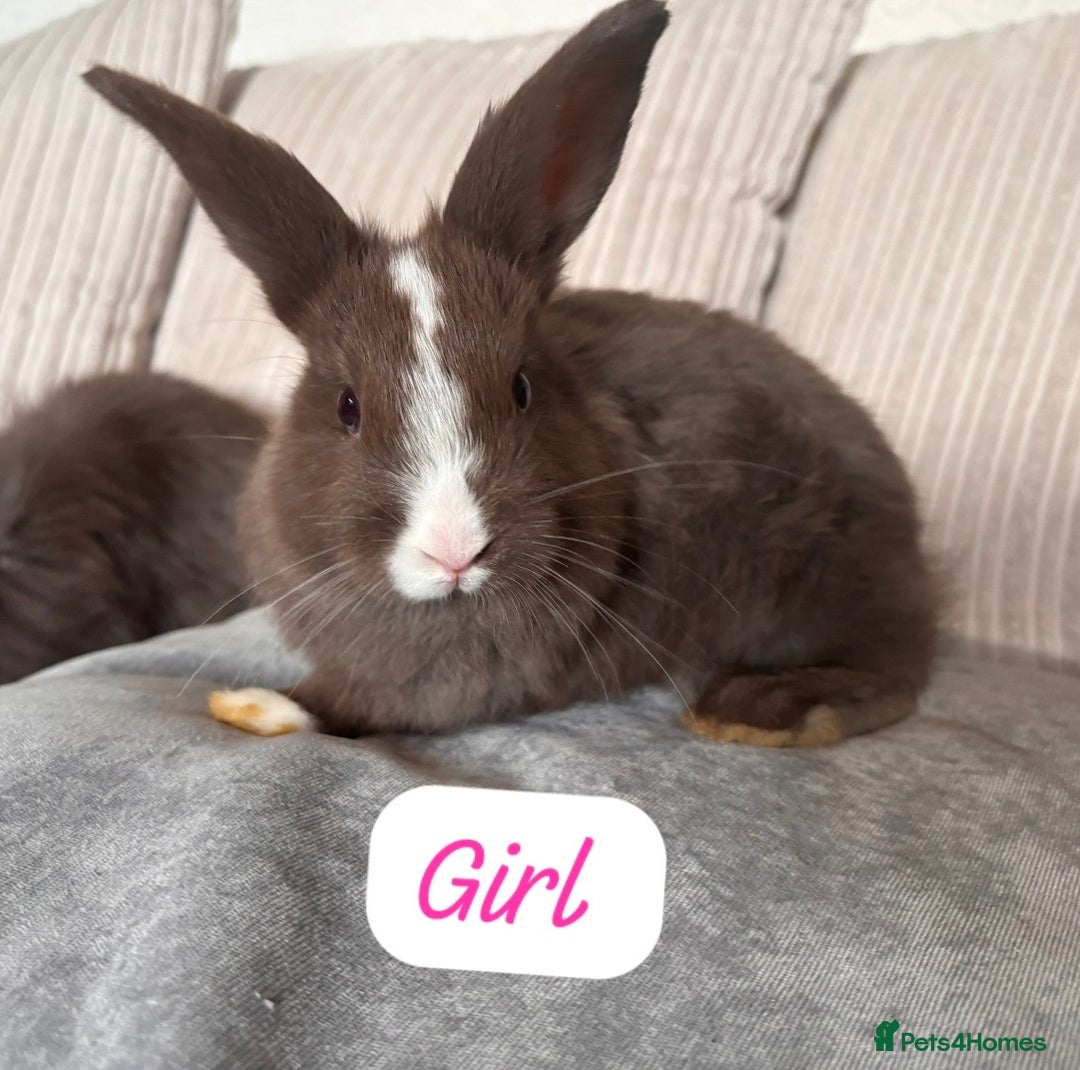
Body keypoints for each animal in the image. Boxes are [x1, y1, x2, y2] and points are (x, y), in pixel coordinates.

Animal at [82, 0, 939, 746]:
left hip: (823, 570)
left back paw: (754, 710)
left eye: (522, 388)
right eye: (347, 406)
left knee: (888, 670)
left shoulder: (463, 677)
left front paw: (261, 706)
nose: (455, 551)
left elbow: (363, 702)